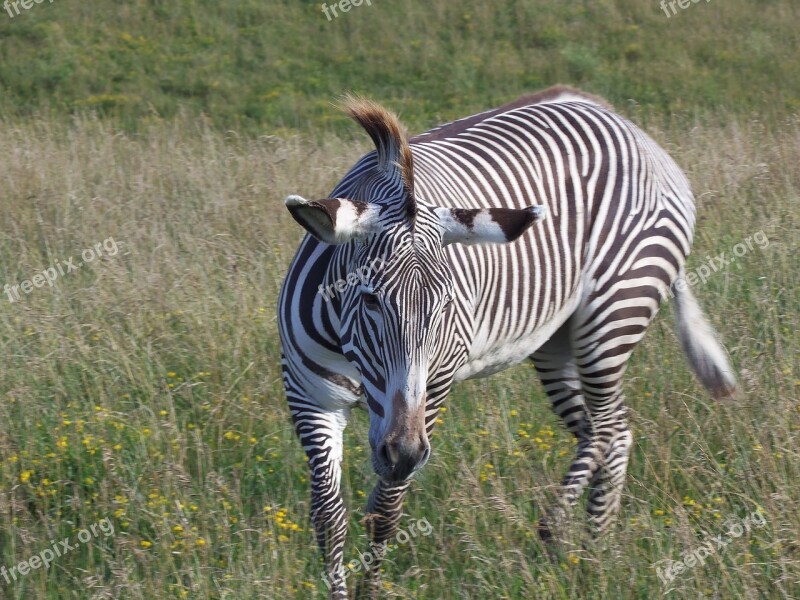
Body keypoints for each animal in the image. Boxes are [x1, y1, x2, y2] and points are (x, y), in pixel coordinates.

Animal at [278, 86, 736, 596]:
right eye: (370, 299)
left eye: (447, 305)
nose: (404, 454)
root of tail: (627, 125)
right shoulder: (310, 397)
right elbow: (329, 518)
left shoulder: (434, 387)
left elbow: (384, 512)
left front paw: (370, 588)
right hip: (556, 341)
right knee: (605, 430)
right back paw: (582, 549)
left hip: (613, 313)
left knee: (609, 426)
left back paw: (577, 542)